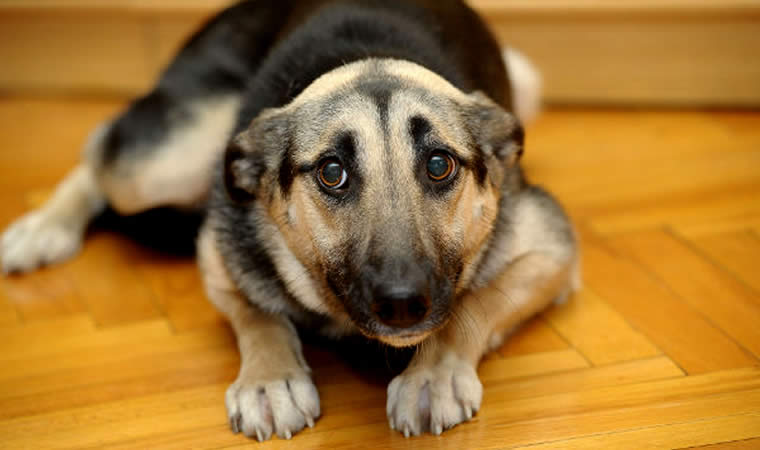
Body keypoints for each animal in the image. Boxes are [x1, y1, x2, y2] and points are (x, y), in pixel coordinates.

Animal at [2, 0, 580, 442]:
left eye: (440, 165)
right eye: (332, 173)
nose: (401, 303)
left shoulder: (551, 250)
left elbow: (473, 305)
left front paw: (433, 374)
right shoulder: (217, 253)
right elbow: (257, 312)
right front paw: (271, 377)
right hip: (161, 162)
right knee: (100, 149)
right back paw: (43, 228)